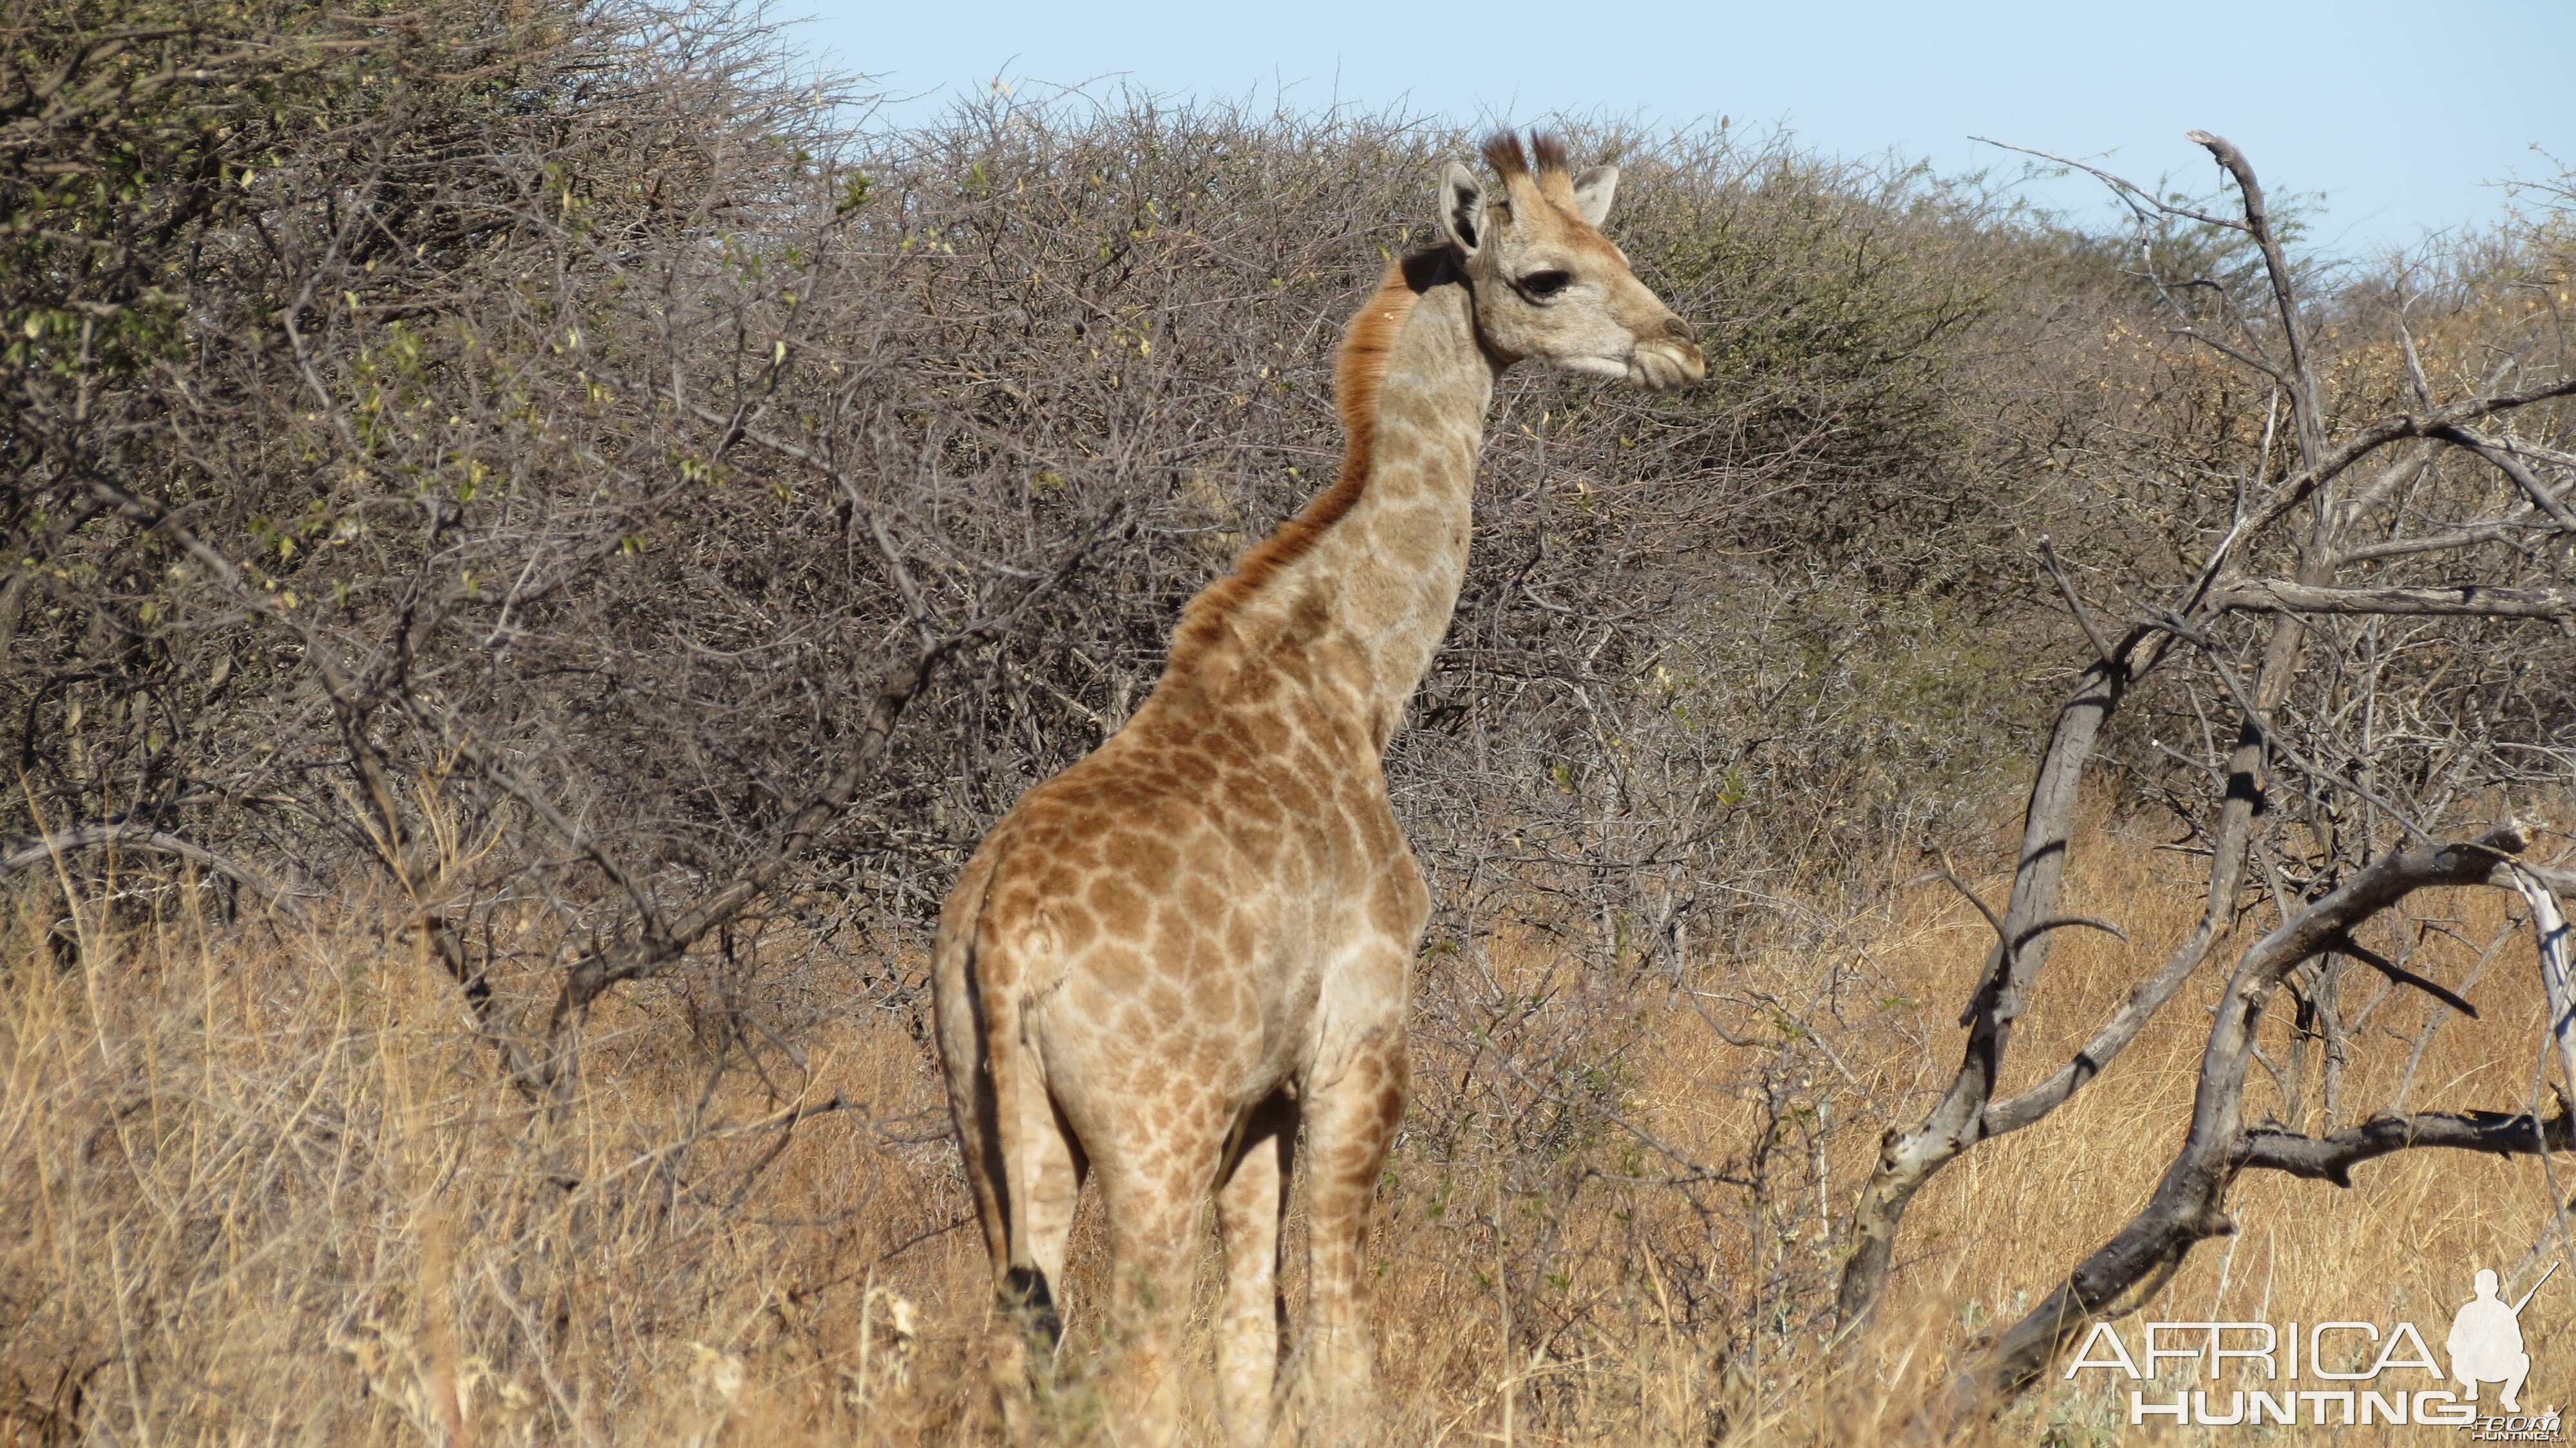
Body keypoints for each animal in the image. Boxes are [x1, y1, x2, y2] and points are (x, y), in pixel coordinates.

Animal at [933, 133, 1710, 1433]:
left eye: (1618, 246)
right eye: (1545, 276)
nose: (1683, 351)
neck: (1354, 678)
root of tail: (1002, 942)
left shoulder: (1260, 1102)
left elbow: (1252, 1340)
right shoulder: (1360, 1039)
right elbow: (1338, 1335)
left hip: (994, 1125)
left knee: (1019, 1353)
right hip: (1150, 1135)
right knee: (1136, 1365)